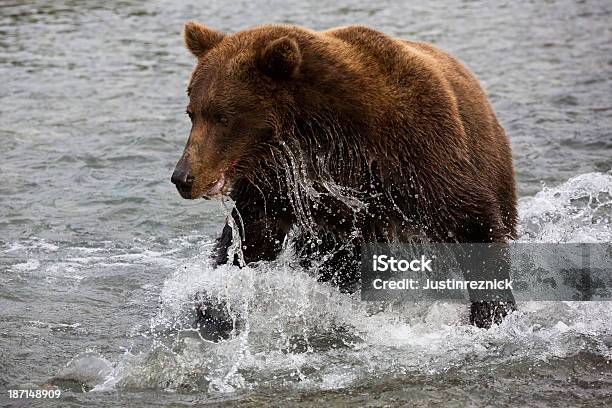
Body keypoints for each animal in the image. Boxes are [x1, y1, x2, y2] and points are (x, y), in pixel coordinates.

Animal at [171, 20, 516, 330]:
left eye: (223, 117)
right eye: (192, 113)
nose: (183, 177)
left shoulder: (417, 150)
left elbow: (470, 220)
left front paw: (493, 313)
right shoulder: (280, 181)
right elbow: (251, 237)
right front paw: (215, 304)